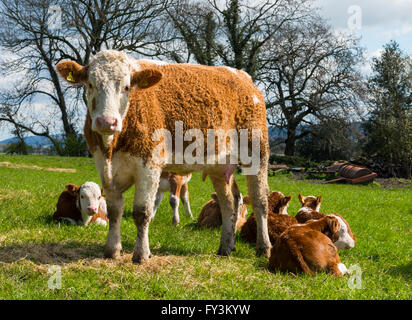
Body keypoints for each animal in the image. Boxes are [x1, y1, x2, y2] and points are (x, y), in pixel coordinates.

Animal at [57, 50, 270, 262]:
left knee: (259, 200)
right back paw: (225, 247)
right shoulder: (104, 167)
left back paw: (264, 248)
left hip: (257, 153)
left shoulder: (149, 166)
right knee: (230, 203)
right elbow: (114, 211)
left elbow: (142, 212)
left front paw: (141, 254)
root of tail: (242, 76)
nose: (107, 121)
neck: (112, 146)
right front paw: (112, 250)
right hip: (219, 166)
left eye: (126, 87)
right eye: (90, 84)